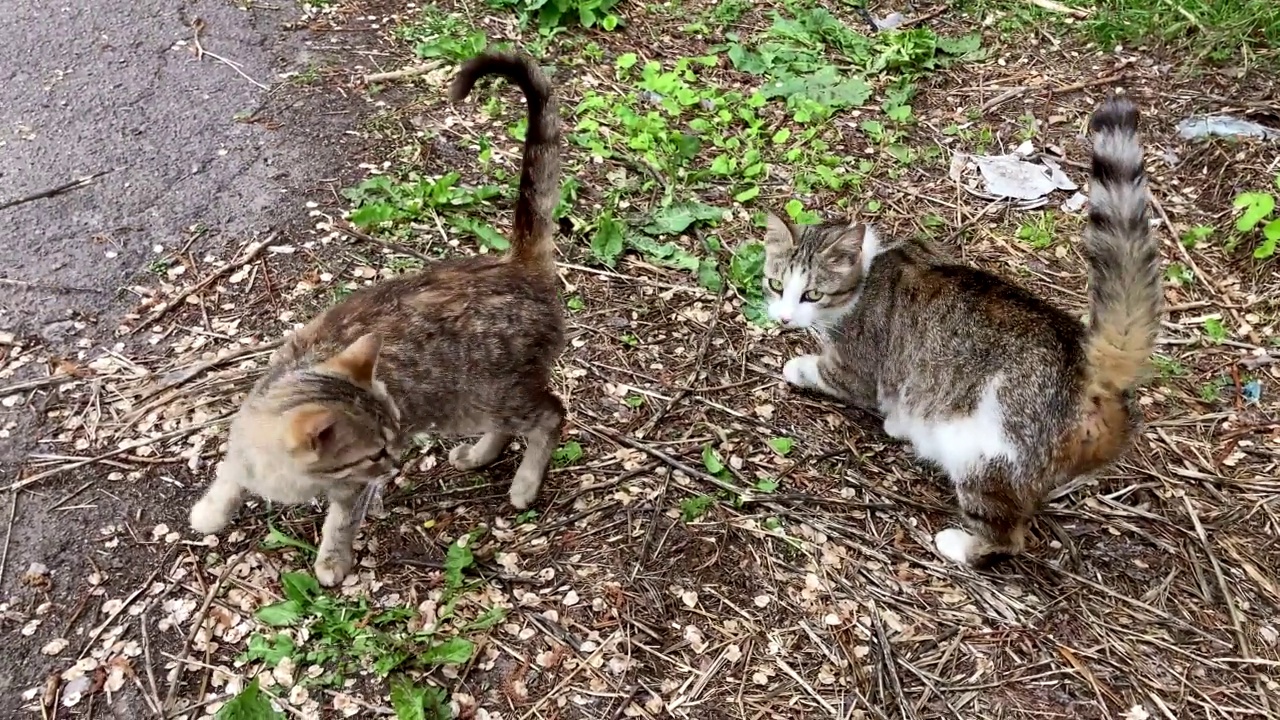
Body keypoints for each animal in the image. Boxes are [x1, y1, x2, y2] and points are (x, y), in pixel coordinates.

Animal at [188, 53, 565, 586]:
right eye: (373, 451)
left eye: (391, 439)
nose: (394, 462)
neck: (288, 477)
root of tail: (515, 264)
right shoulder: (242, 446)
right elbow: (227, 480)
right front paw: (210, 512)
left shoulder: (350, 490)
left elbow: (340, 523)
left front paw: (331, 561)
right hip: (475, 404)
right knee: (516, 423)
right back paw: (479, 455)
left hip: (488, 395)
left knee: (552, 414)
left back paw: (524, 484)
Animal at [757, 95, 1162, 566]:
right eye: (776, 286)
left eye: (812, 294)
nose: (784, 318)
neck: (870, 270)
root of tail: (1089, 372)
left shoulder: (856, 369)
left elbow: (821, 371)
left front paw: (796, 366)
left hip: (986, 455)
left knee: (1007, 535)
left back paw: (960, 543)